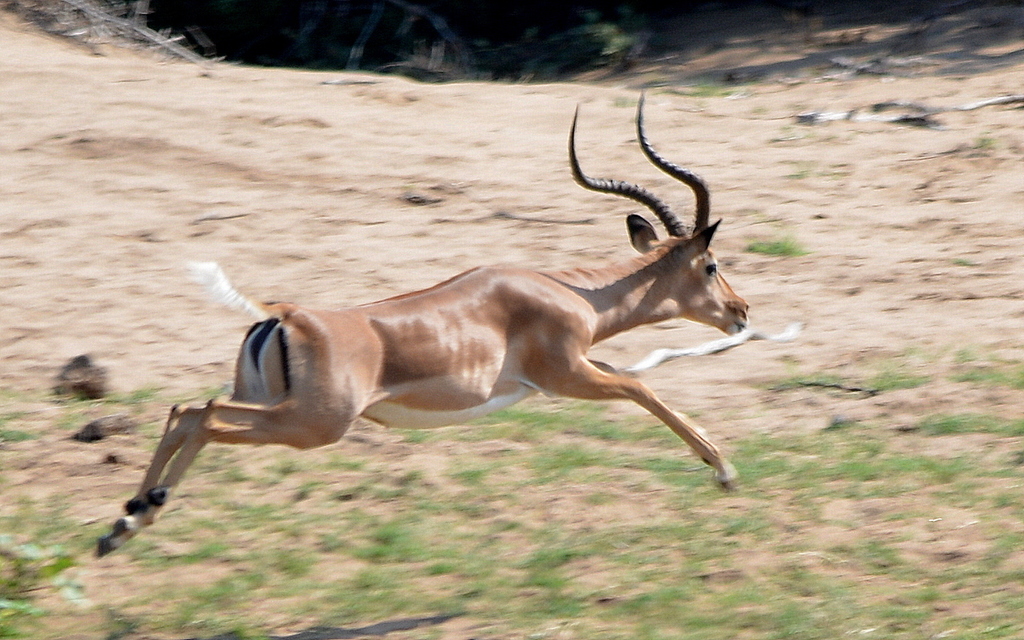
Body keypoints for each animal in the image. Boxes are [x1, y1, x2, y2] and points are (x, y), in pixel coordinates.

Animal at [97, 95, 749, 557]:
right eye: (711, 264)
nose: (741, 312)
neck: (568, 293)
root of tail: (284, 317)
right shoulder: (566, 376)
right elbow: (643, 386)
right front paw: (724, 471)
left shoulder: (579, 369)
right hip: (313, 424)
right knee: (202, 415)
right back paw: (133, 517)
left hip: (271, 406)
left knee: (186, 412)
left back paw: (128, 520)